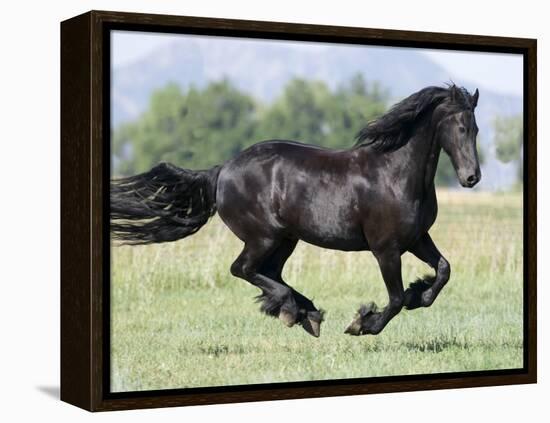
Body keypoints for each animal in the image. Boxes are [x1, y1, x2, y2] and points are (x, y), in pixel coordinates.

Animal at [113, 84, 484, 340]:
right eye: (460, 128)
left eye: (476, 128)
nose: (471, 177)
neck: (395, 175)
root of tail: (222, 170)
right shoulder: (386, 248)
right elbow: (393, 300)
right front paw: (362, 323)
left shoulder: (417, 238)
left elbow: (443, 270)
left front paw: (418, 293)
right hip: (262, 237)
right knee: (243, 269)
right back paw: (295, 311)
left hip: (285, 239)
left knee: (269, 273)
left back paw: (306, 313)